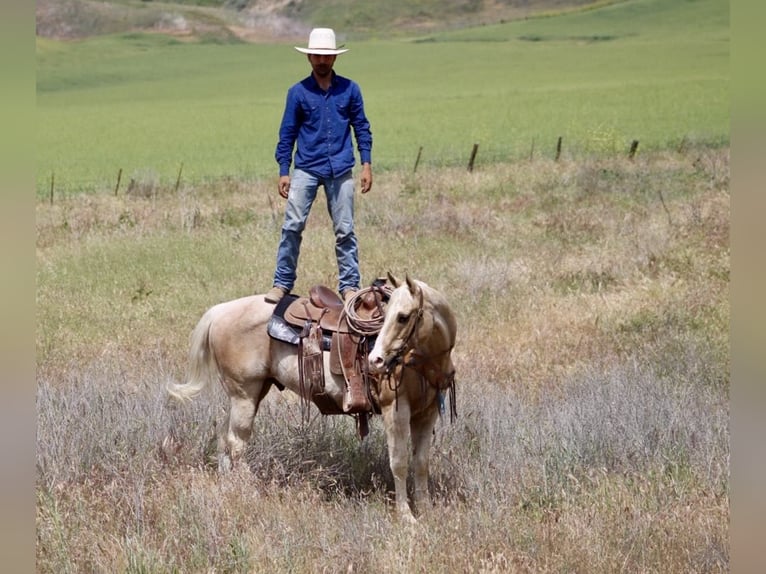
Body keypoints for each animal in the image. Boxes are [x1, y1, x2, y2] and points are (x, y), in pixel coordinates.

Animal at [167, 273, 457, 523]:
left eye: (403, 317)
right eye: (388, 316)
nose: (376, 360)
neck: (422, 358)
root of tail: (220, 311)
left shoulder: (427, 413)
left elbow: (421, 463)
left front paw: (427, 510)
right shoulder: (395, 409)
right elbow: (399, 462)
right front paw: (406, 517)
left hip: (247, 394)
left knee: (224, 439)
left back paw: (229, 488)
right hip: (244, 395)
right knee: (237, 443)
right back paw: (247, 490)